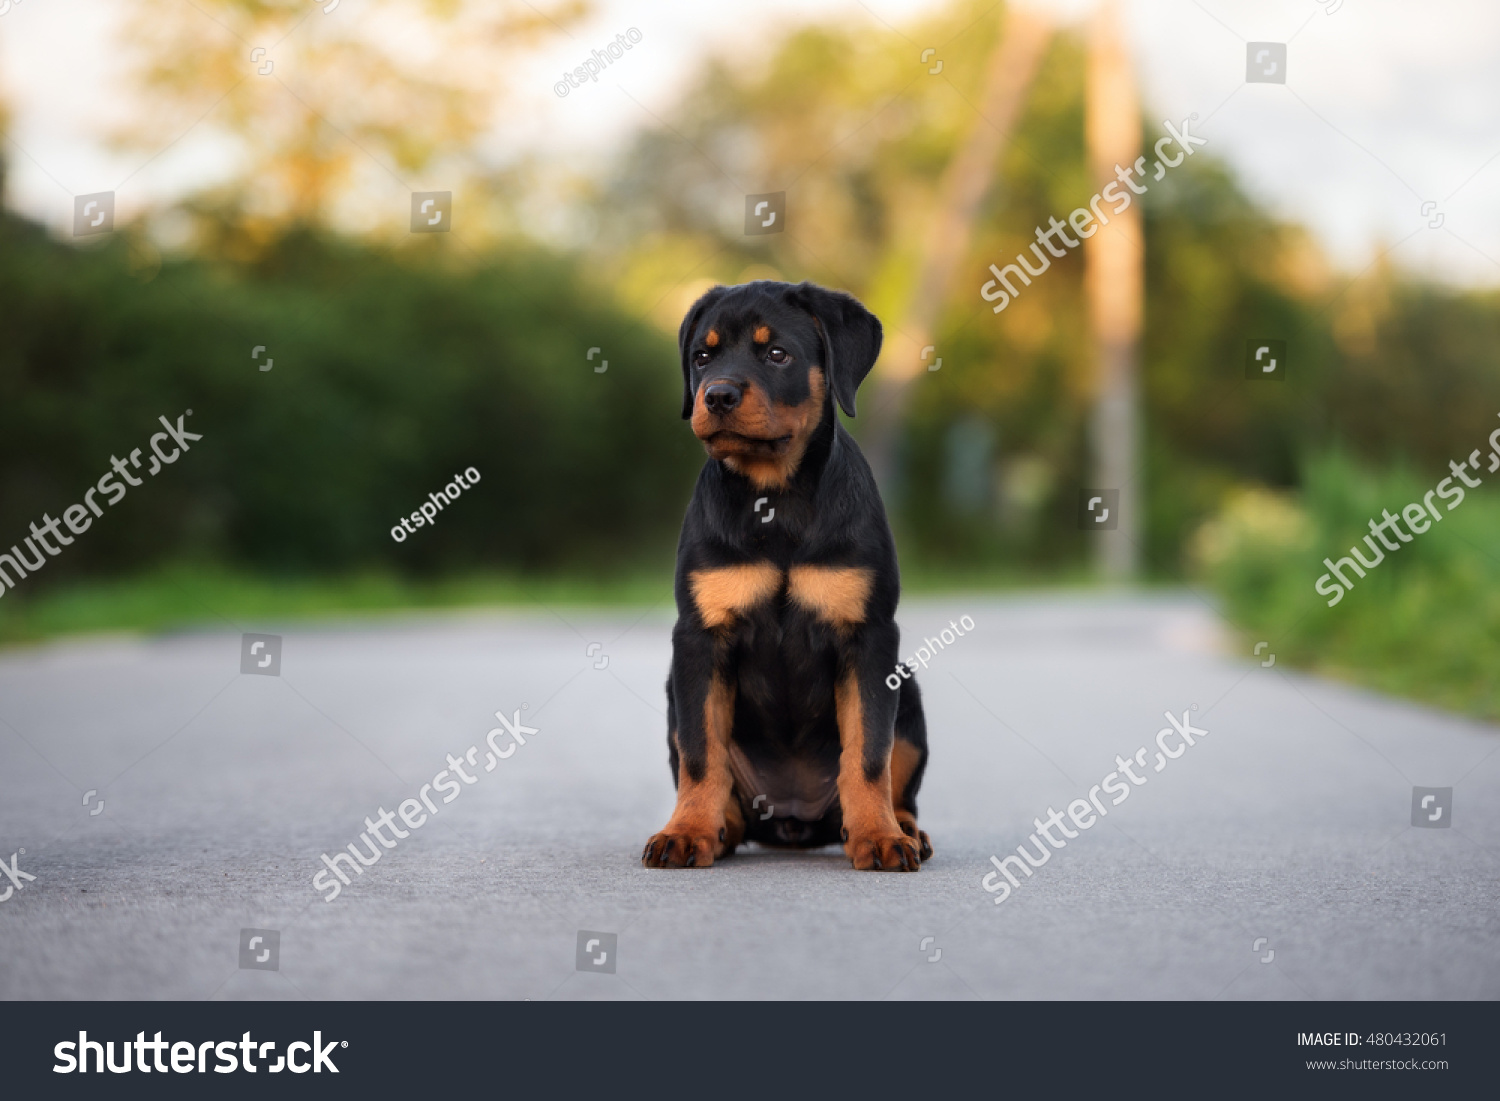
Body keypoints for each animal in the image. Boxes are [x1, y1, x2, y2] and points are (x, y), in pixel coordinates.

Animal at [642, 280, 930, 876]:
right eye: (701, 357)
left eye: (777, 354)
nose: (717, 396)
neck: (774, 501)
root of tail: (794, 821)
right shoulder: (699, 638)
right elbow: (700, 755)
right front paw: (685, 833)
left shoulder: (869, 637)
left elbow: (869, 751)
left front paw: (879, 838)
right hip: (674, 693)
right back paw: (718, 828)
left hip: (908, 685)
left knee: (897, 780)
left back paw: (904, 829)